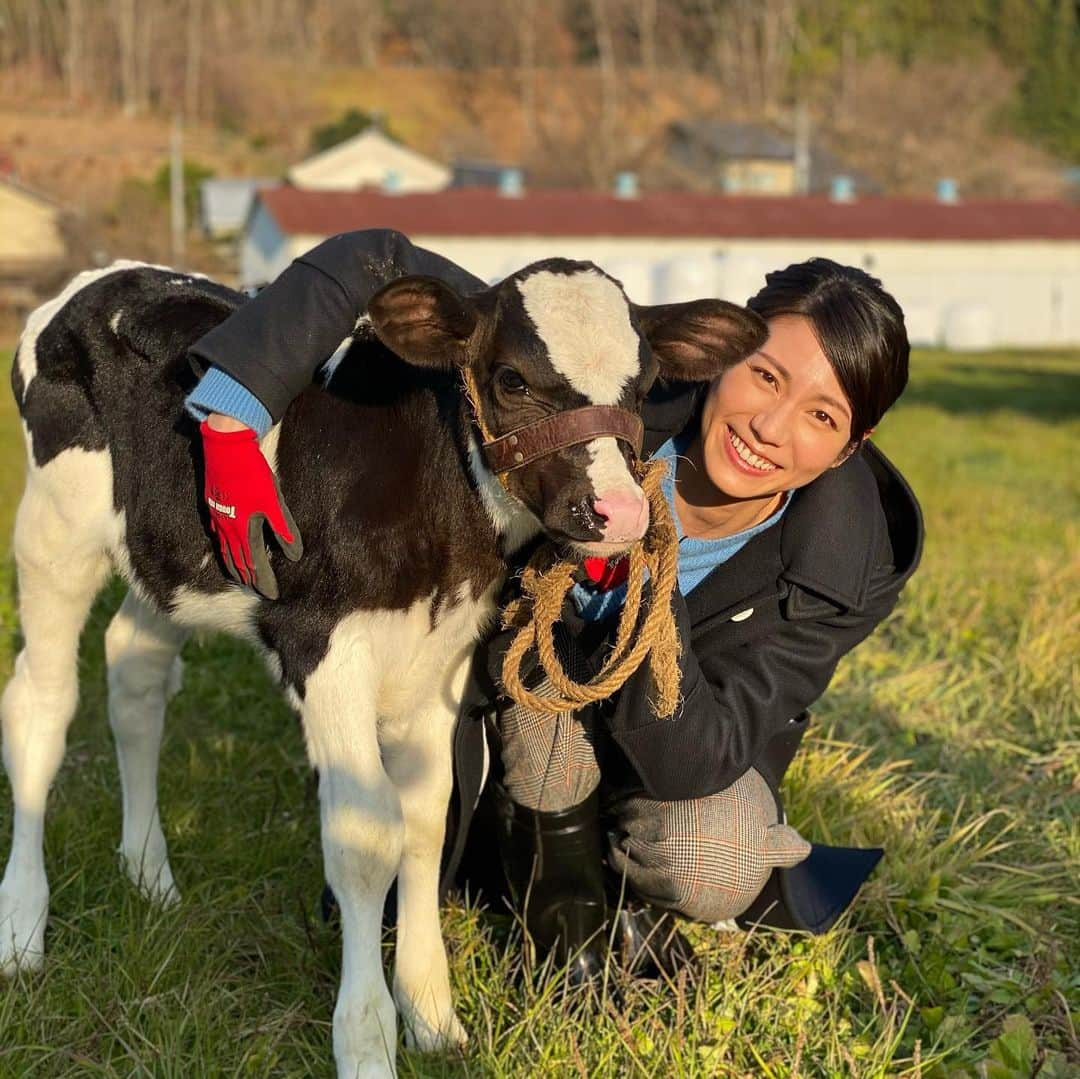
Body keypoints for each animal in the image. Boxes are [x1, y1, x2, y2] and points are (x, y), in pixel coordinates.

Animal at [0, 257, 764, 1075]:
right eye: (512, 379)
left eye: (643, 385)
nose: (617, 512)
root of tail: (103, 277)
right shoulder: (324, 648)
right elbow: (367, 838)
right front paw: (366, 1042)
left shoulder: (442, 658)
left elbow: (427, 817)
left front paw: (430, 1013)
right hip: (52, 536)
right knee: (42, 703)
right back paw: (22, 924)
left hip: (167, 560)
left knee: (135, 675)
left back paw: (149, 874)